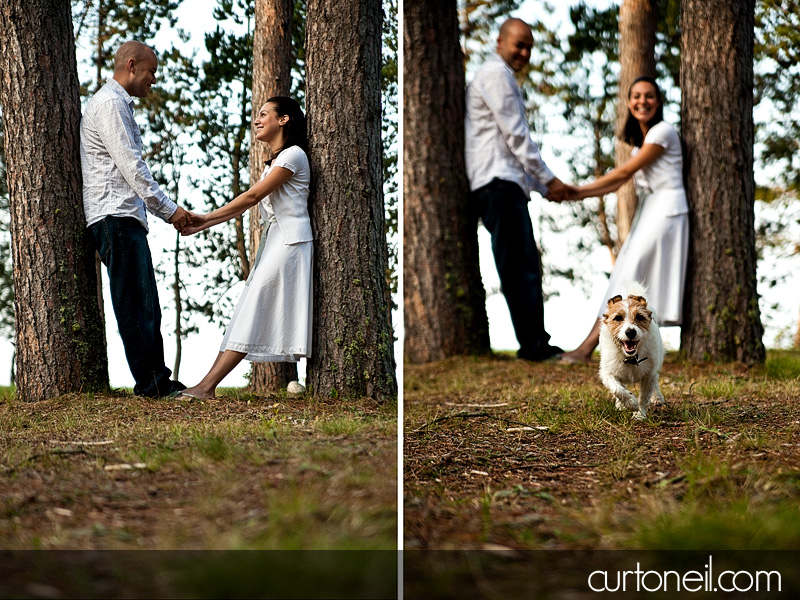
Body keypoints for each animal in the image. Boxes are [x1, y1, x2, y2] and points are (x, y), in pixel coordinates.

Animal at [600, 282, 664, 420]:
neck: (631, 358)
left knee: (656, 383)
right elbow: (617, 388)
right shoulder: (607, 372)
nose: (630, 332)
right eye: (618, 318)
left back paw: (657, 397)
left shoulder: (649, 374)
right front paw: (629, 402)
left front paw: (639, 414)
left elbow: (644, 397)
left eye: (640, 317)